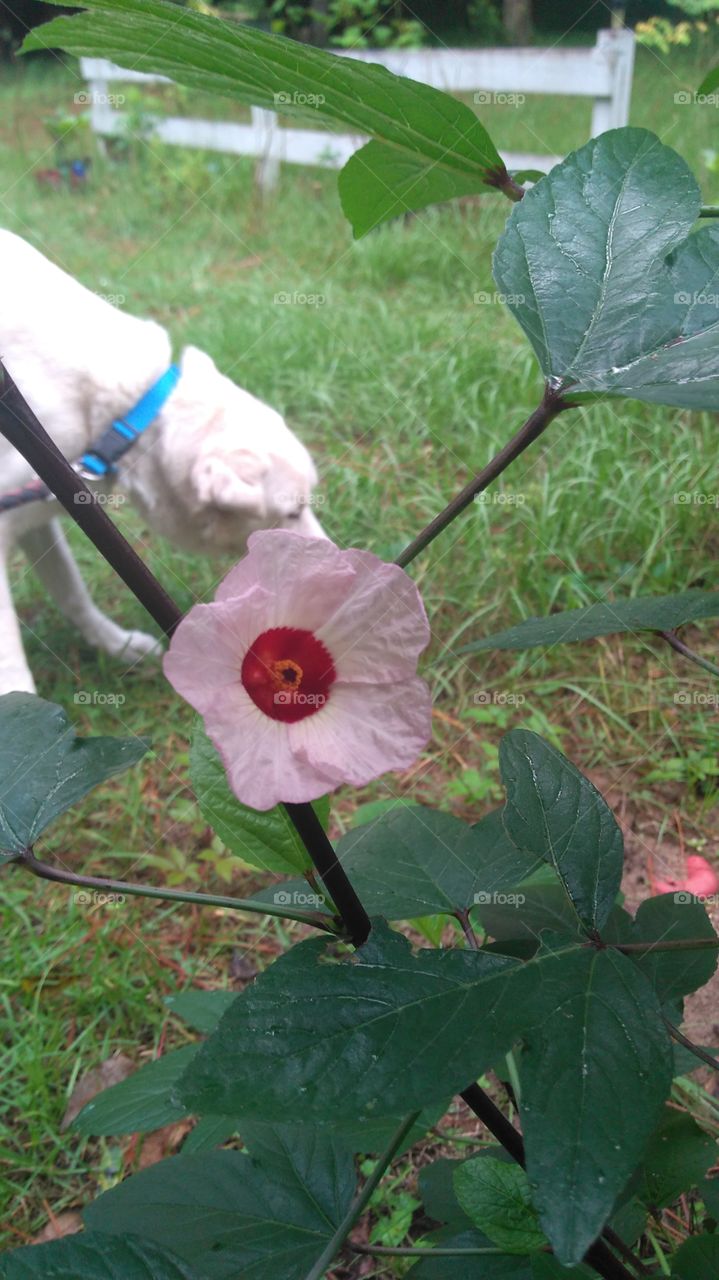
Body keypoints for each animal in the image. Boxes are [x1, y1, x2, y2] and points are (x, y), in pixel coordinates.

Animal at [0, 225, 322, 696]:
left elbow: (71, 592)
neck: (130, 414)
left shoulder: (39, 512)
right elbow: (10, 654)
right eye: (293, 512)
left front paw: (116, 645)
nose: (338, 565)